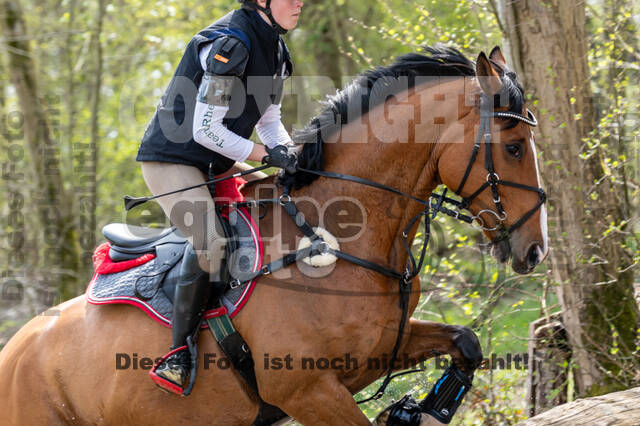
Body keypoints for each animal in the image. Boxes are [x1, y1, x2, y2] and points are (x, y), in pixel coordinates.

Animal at [1, 45, 552, 424]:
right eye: (514, 147)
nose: (534, 251)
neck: (341, 233)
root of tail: (15, 348)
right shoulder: (310, 392)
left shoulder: (380, 352)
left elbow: (467, 342)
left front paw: (422, 410)